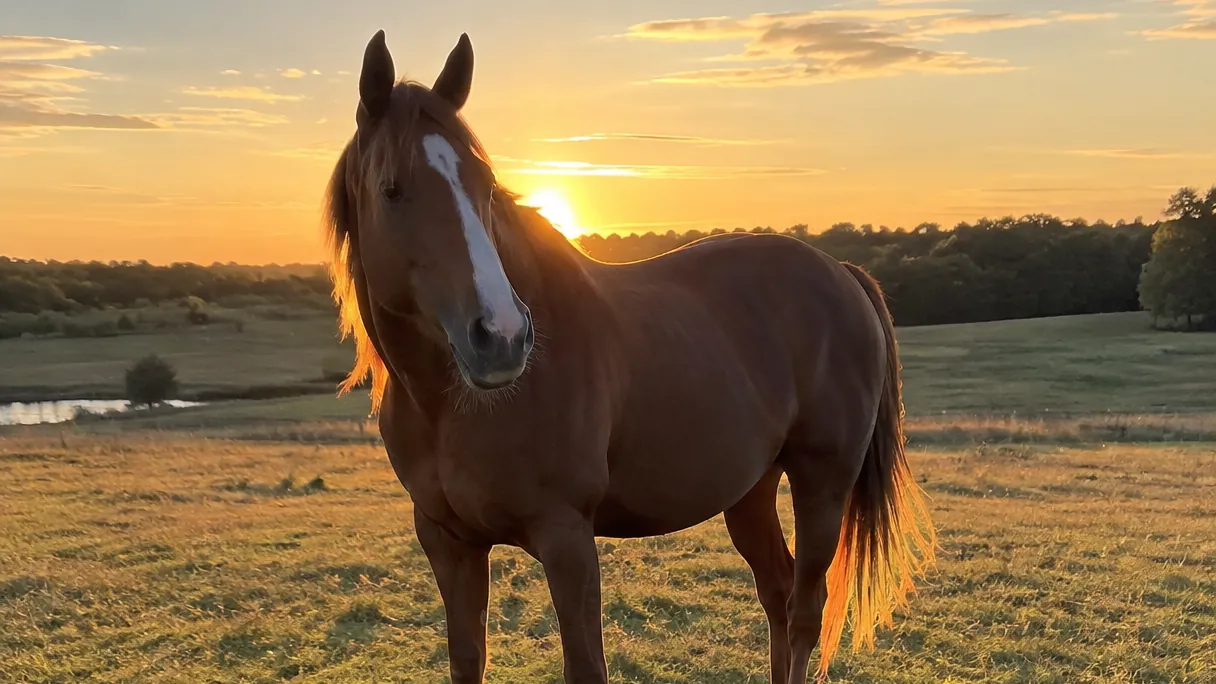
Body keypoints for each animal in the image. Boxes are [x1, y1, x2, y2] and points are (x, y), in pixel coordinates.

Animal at [323, 29, 937, 684]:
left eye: (484, 184)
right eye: (391, 189)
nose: (503, 337)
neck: (452, 407)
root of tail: (841, 273)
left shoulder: (567, 538)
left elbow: (586, 664)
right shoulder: (446, 541)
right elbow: (468, 659)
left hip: (822, 483)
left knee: (804, 610)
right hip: (750, 489)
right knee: (778, 593)